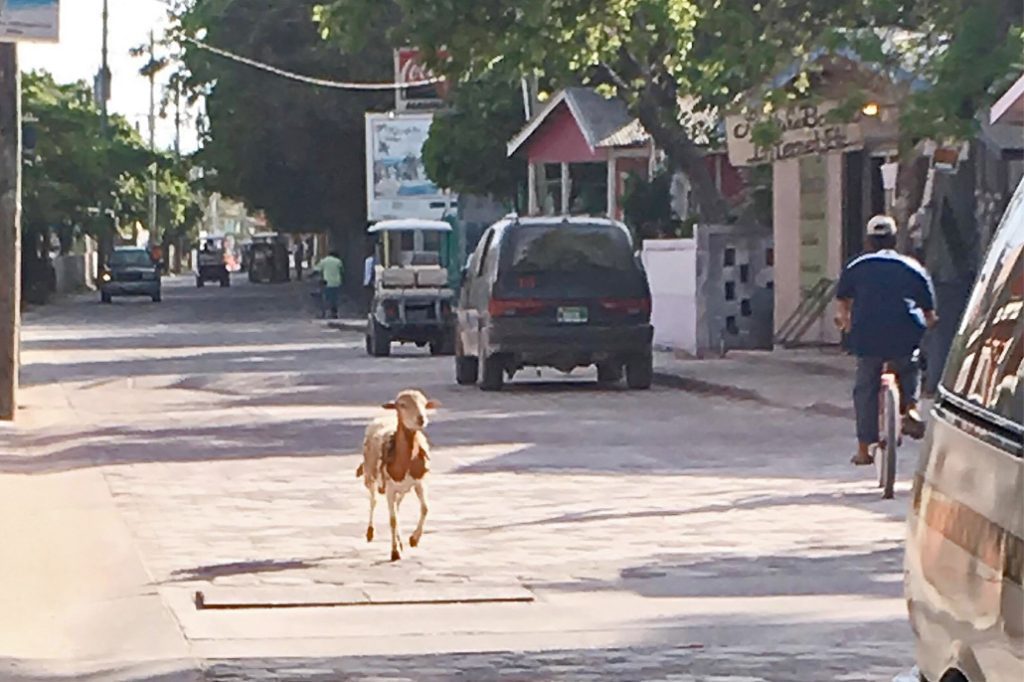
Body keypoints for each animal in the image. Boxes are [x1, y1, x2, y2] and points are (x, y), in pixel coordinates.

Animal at [356, 389, 439, 561]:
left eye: (424, 403)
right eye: (402, 405)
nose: (421, 419)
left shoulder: (419, 482)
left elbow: (425, 508)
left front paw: (414, 539)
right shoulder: (389, 488)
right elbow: (392, 520)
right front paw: (395, 552)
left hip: (402, 489)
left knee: (397, 506)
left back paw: (400, 540)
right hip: (370, 476)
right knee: (373, 501)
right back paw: (370, 532)